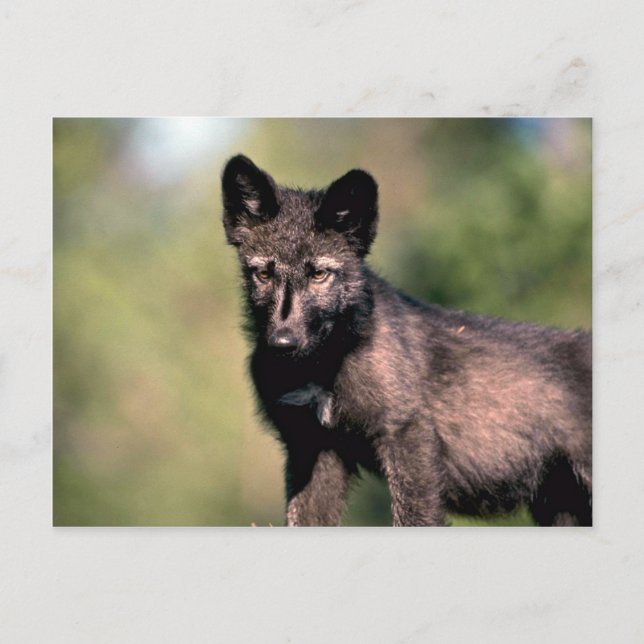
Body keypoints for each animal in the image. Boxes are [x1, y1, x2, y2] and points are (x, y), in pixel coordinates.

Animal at [221, 154, 592, 527]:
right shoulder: (312, 448)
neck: (326, 363)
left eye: (319, 274)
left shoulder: (407, 436)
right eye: (263, 274)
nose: (283, 343)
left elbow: (414, 517)